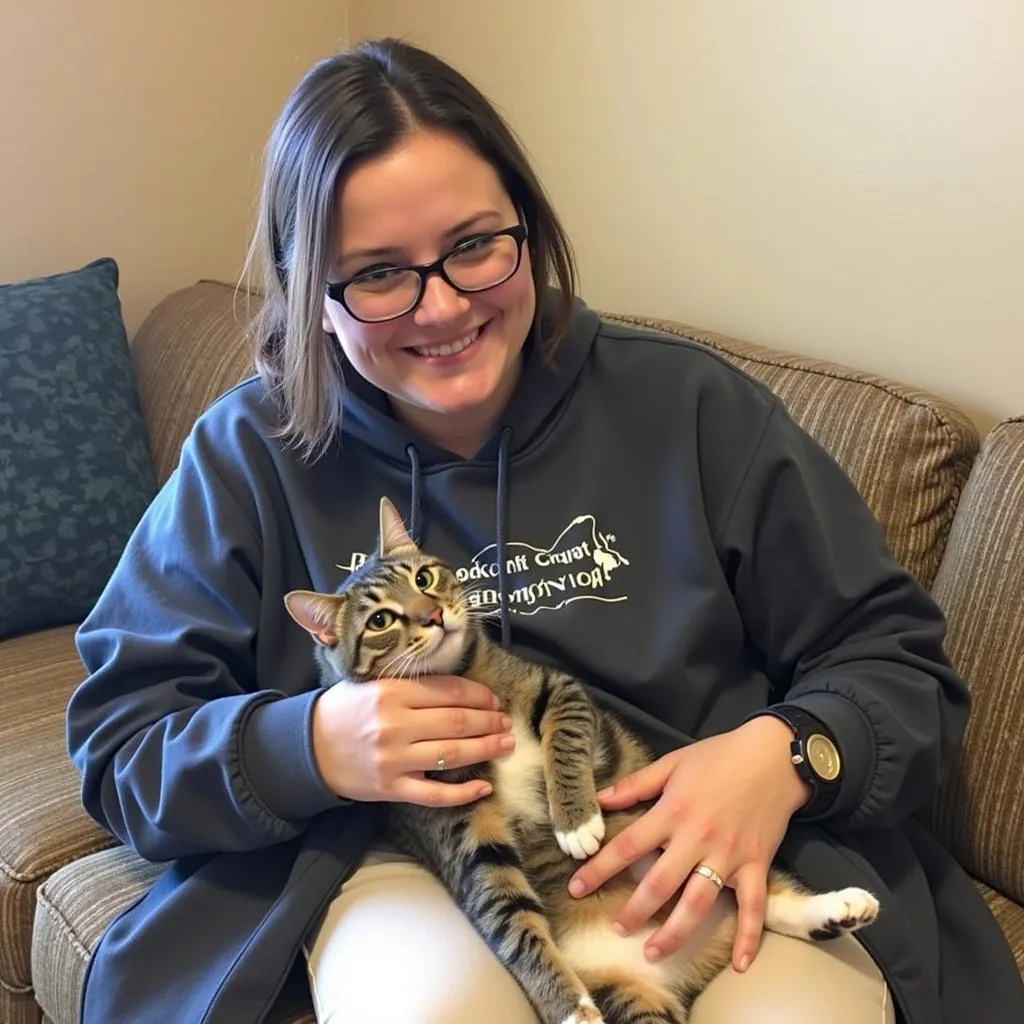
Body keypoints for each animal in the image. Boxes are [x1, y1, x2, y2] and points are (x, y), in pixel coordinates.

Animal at [284, 493, 876, 1015]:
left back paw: (837, 906)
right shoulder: (462, 830)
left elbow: (564, 742)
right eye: (380, 621)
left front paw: (576, 821)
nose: (433, 615)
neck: (459, 676)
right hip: (629, 993)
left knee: (760, 894)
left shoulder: (557, 688)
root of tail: (684, 963)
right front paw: (571, 1009)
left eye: (423, 578)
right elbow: (510, 920)